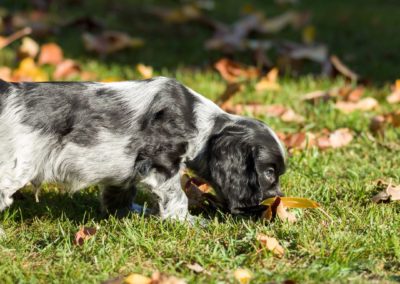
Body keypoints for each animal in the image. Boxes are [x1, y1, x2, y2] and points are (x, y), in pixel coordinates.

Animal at [0, 77, 288, 222]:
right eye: (269, 173)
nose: (278, 200)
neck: (198, 118)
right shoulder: (162, 164)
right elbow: (177, 198)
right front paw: (188, 222)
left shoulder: (126, 169)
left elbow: (120, 193)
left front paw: (126, 214)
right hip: (14, 166)